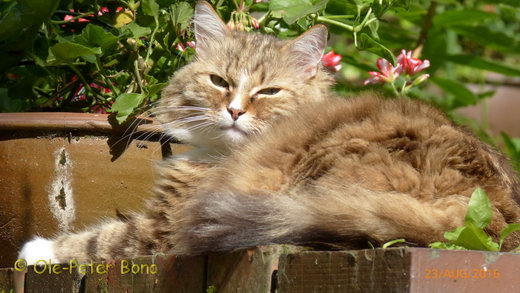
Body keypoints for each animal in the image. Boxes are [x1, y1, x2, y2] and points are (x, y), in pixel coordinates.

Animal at [18, 1, 516, 264]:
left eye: (269, 91)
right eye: (219, 82)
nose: (235, 111)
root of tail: (490, 214)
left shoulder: (168, 226)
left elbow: (97, 238)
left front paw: (37, 248)